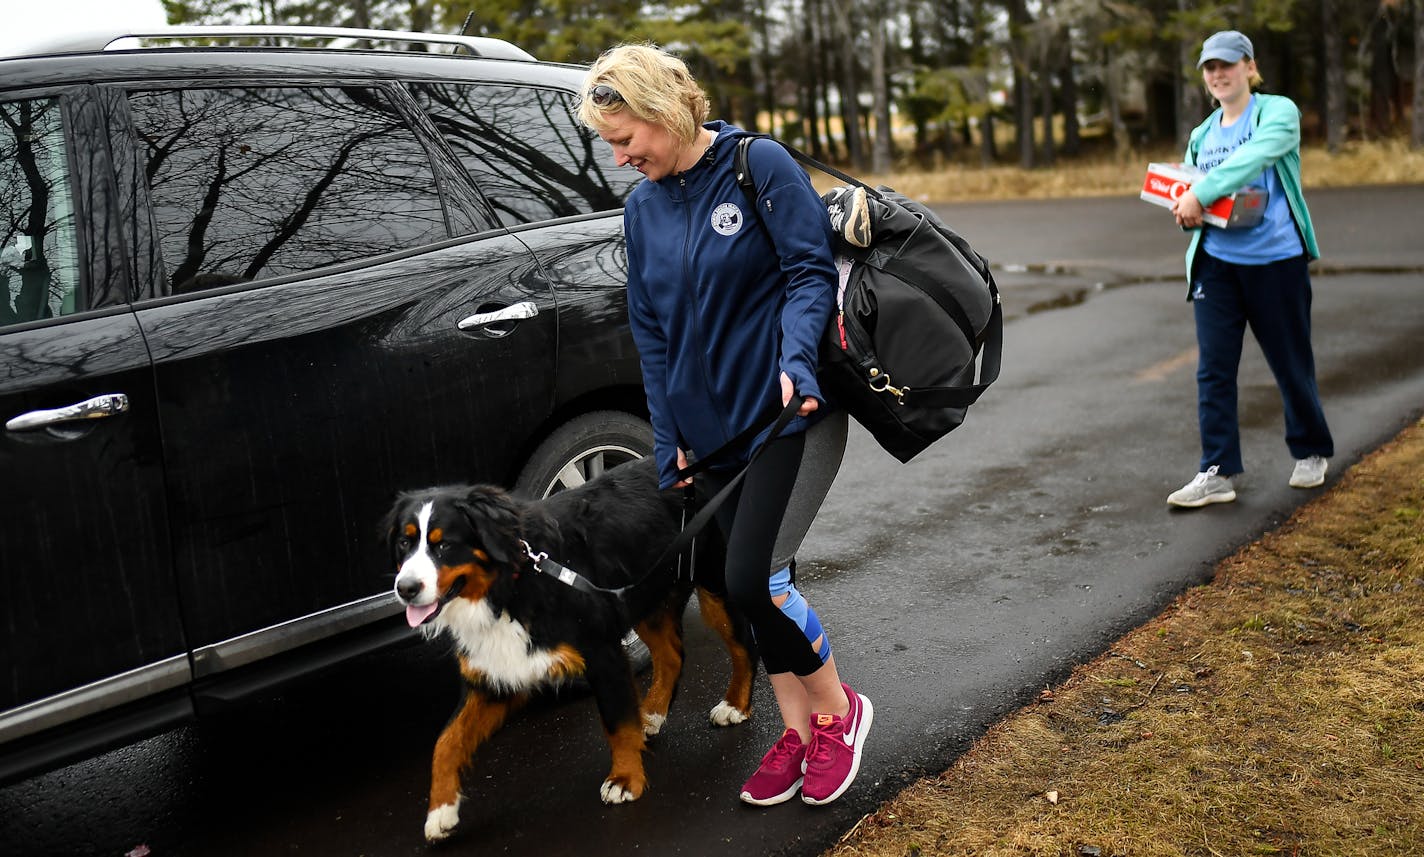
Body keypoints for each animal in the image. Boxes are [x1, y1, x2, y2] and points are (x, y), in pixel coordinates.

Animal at [378, 458, 757, 837]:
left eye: (444, 545)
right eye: (405, 544)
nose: (405, 588)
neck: (513, 582)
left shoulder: (601, 651)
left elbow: (616, 722)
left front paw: (625, 779)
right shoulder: (496, 671)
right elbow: (446, 741)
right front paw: (440, 811)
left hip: (717, 582)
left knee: (744, 646)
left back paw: (734, 705)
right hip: (645, 596)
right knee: (672, 655)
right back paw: (650, 714)